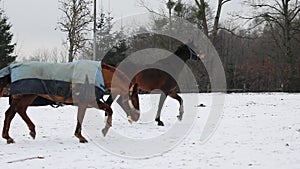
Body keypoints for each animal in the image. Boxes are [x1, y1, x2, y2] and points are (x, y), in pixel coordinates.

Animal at [0, 61, 140, 143]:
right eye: (134, 98)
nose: (136, 116)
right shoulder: (87, 102)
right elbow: (105, 110)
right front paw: (87, 135)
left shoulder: (85, 103)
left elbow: (82, 117)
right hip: (23, 96)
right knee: (10, 113)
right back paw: (8, 137)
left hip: (28, 96)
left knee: (20, 110)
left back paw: (31, 131)